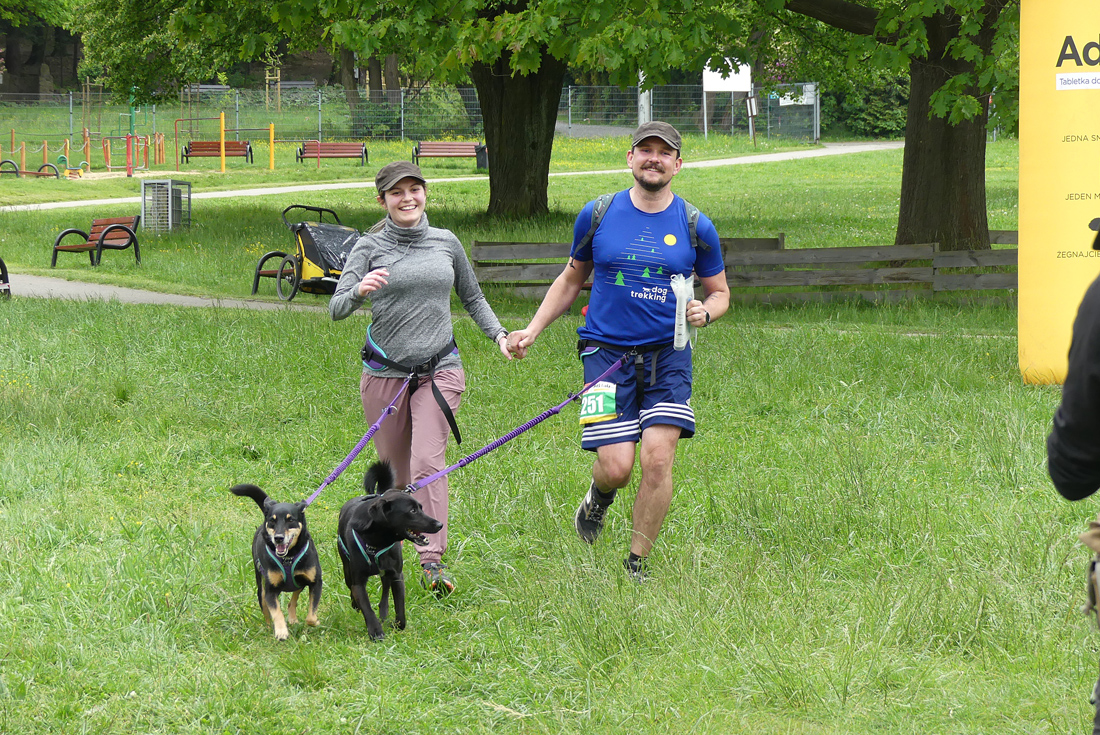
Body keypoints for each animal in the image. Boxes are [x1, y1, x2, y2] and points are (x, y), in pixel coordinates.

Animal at [230, 484, 322, 641]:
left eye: (290, 520)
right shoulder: (270, 590)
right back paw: (270, 628)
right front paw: (281, 631)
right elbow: (276, 612)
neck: (288, 557)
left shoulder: (315, 582)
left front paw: (314, 621)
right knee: (267, 612)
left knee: (292, 601)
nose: (278, 538)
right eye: (272, 521)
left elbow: (311, 614)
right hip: (261, 589)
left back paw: (293, 619)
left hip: (300, 582)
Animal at [336, 460, 442, 640]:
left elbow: (400, 608)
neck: (377, 542)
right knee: (351, 587)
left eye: (421, 507)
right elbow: (366, 607)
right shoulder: (358, 581)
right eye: (412, 511)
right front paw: (376, 632)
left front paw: (397, 625)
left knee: (385, 590)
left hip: (386, 573)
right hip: (347, 569)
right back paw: (356, 605)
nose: (439, 524)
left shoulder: (397, 575)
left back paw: (384, 611)